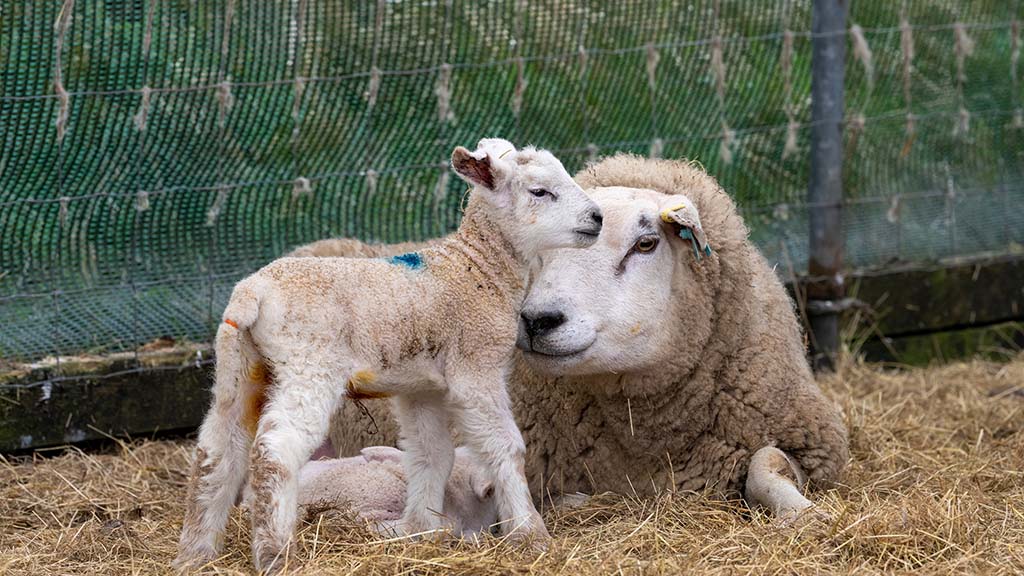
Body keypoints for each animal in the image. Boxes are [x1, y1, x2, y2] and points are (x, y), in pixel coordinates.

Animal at [303, 154, 849, 524]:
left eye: (646, 243)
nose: (536, 321)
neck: (644, 434)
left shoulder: (815, 447)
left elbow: (764, 464)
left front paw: (806, 513)